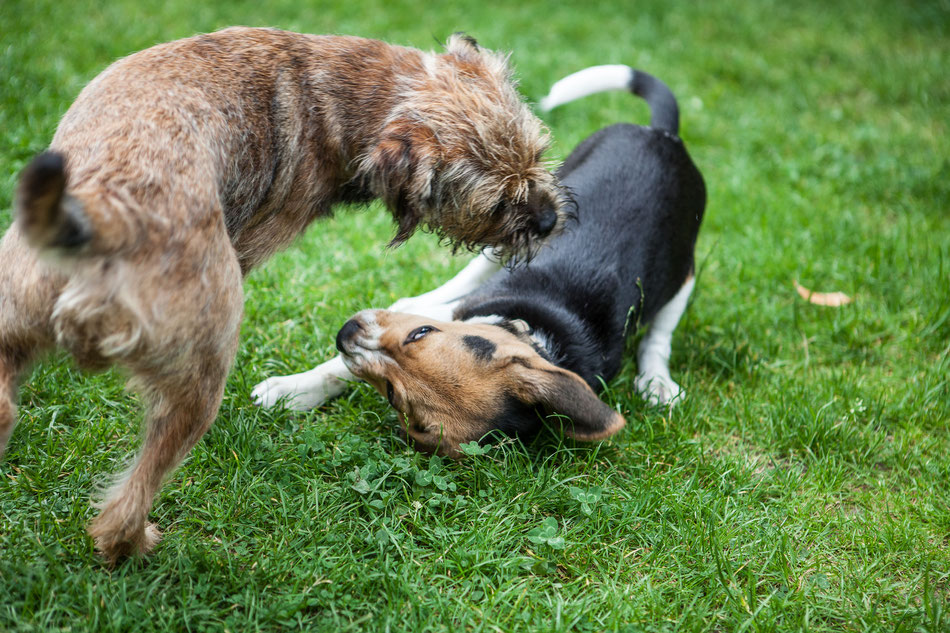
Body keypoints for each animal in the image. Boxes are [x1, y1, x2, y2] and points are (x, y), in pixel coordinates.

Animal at [0, 25, 564, 564]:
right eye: (497, 203)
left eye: (538, 155)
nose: (550, 221)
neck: (345, 95)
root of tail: (103, 211)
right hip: (203, 371)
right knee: (128, 501)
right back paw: (135, 544)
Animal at [255, 64, 708, 454]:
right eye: (420, 333)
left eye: (393, 395)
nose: (344, 332)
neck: (541, 337)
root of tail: (664, 135)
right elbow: (338, 367)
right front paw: (290, 390)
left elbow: (348, 366)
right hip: (525, 218)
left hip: (684, 272)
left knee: (660, 333)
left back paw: (657, 381)